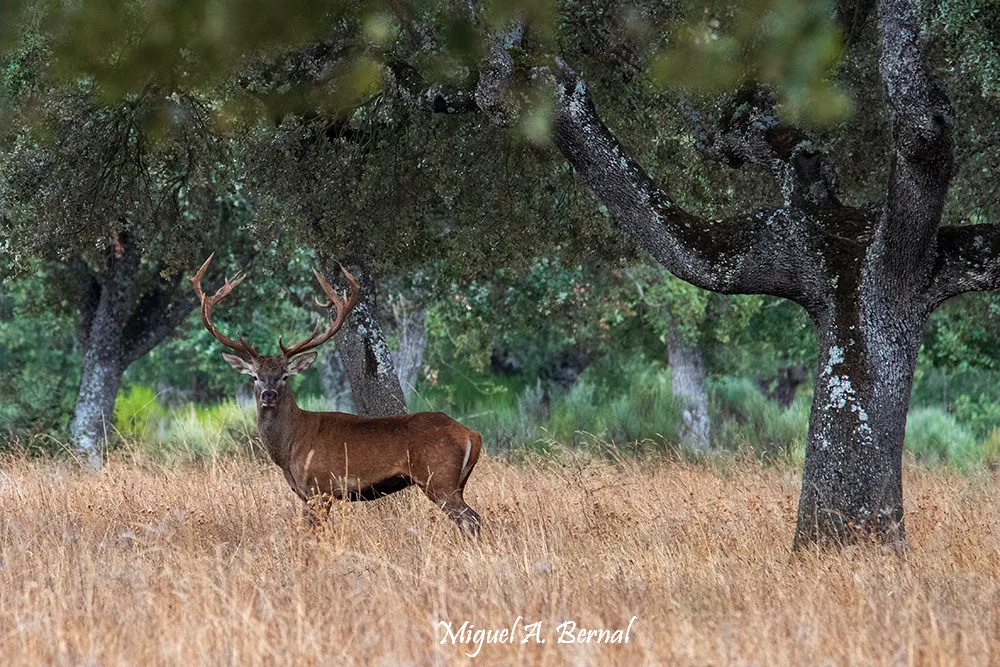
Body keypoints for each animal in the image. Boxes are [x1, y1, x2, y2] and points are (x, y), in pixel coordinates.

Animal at [189, 254, 482, 537]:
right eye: (254, 376)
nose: (269, 395)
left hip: (439, 478)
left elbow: (312, 534)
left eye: (285, 375)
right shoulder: (304, 492)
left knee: (472, 519)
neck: (289, 447)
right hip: (453, 482)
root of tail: (472, 435)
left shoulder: (318, 486)